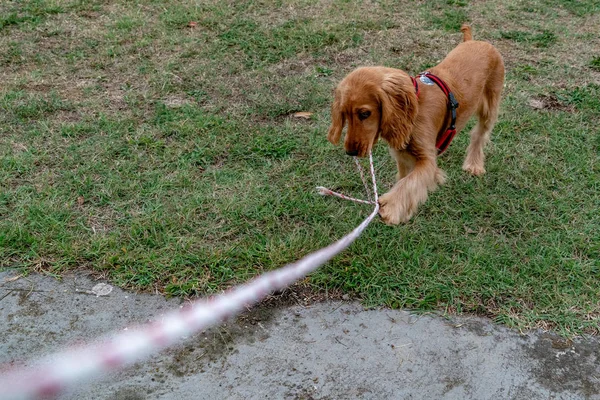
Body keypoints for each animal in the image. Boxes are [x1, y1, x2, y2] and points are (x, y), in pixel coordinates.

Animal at [326, 25, 504, 225]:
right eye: (344, 114)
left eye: (365, 113)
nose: (351, 152)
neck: (414, 108)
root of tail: (473, 40)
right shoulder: (402, 155)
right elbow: (405, 180)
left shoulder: (427, 160)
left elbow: (409, 184)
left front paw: (390, 207)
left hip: (490, 106)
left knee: (479, 135)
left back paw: (474, 165)